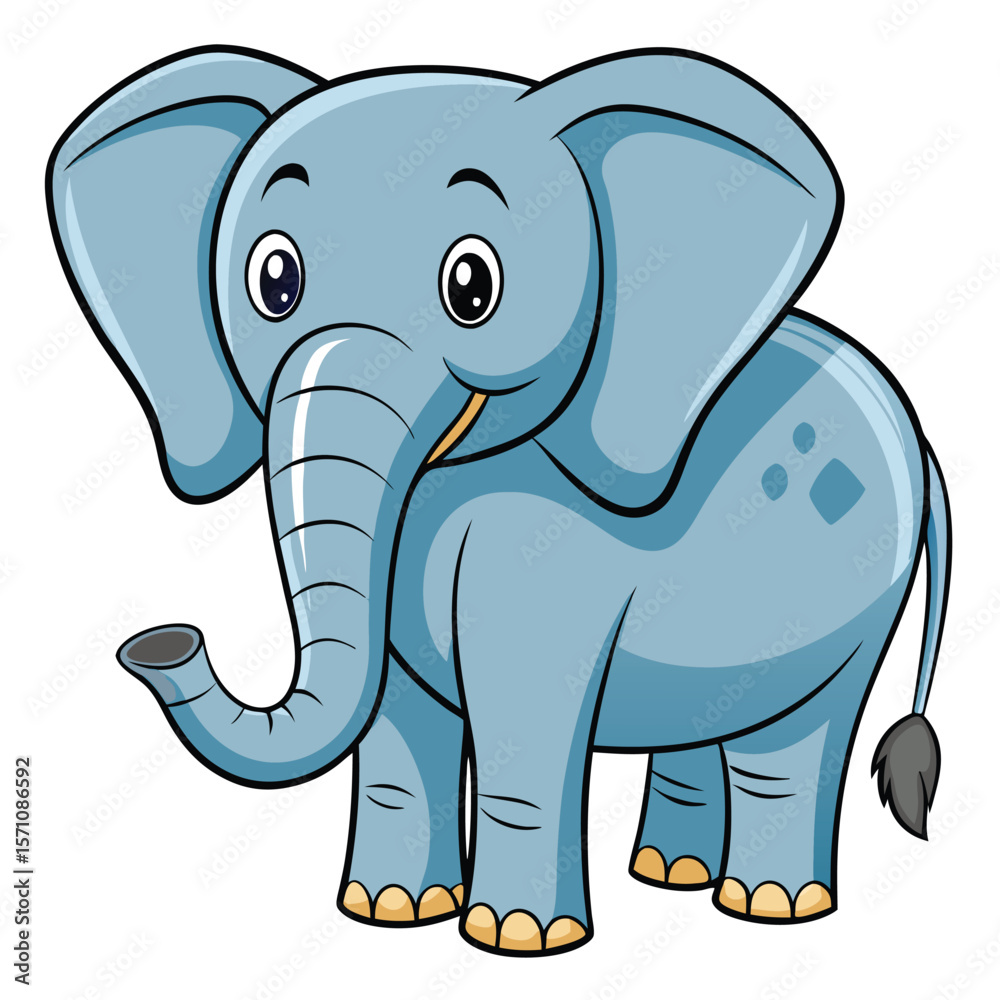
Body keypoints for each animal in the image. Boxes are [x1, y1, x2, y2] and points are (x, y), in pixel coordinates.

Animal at [47, 45, 951, 956]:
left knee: (797, 734)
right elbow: (398, 711)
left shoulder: (547, 546)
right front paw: (388, 911)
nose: (162, 645)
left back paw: (769, 905)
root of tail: (912, 424)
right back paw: (669, 873)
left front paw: (516, 938)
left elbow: (522, 700)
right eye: (274, 279)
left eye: (473, 287)